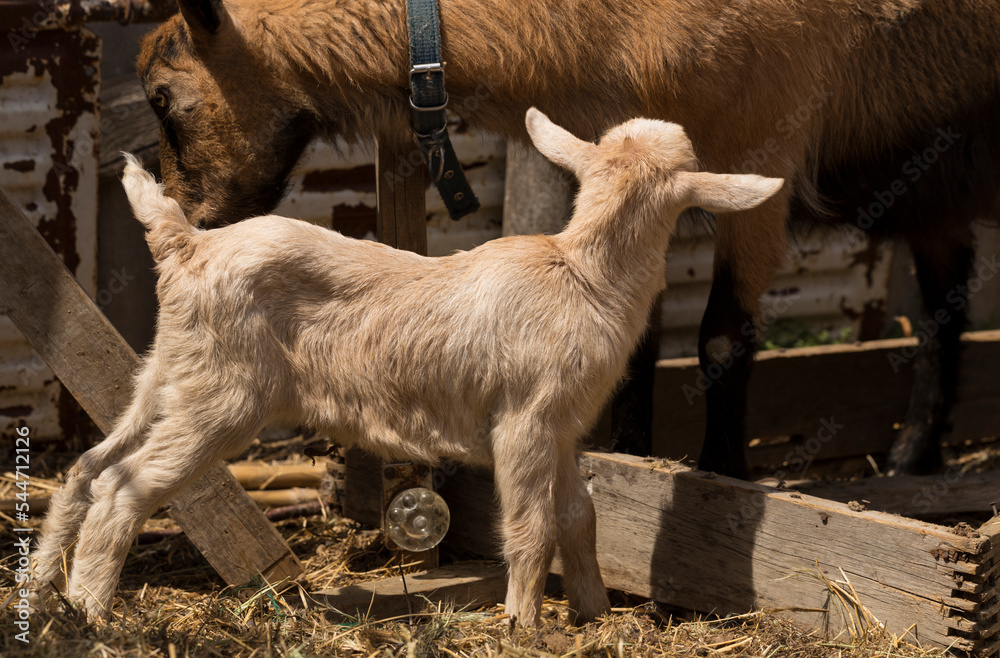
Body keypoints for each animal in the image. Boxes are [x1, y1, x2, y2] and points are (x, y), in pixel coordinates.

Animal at [31, 109, 784, 623]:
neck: (582, 276)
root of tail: (185, 243)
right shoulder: (525, 420)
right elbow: (532, 526)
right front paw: (524, 624)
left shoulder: (565, 429)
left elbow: (580, 516)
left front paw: (594, 613)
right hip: (224, 395)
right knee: (125, 484)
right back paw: (93, 609)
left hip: (168, 371)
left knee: (89, 466)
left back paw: (44, 592)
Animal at [136, 0, 1000, 478]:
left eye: (162, 98)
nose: (193, 219)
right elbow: (640, 344)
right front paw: (634, 456)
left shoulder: (768, 154)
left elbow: (722, 336)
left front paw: (723, 475)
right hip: (934, 182)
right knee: (944, 305)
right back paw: (915, 455)